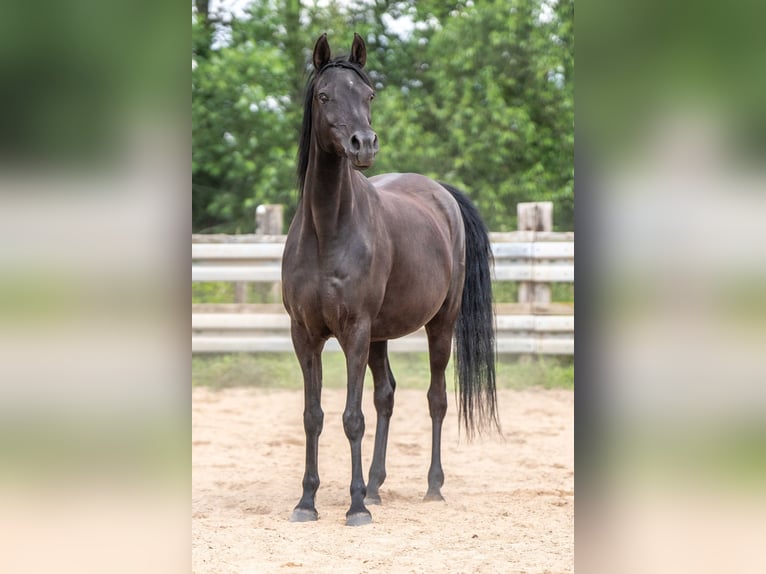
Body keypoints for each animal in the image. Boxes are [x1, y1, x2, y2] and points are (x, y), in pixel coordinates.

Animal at [281, 32, 498, 526]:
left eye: (369, 95)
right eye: (324, 96)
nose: (363, 144)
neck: (327, 230)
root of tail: (441, 193)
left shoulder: (355, 332)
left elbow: (351, 418)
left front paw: (356, 507)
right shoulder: (305, 335)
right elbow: (313, 415)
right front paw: (307, 502)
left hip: (438, 325)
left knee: (436, 398)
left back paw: (431, 487)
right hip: (380, 335)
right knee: (387, 395)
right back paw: (377, 486)